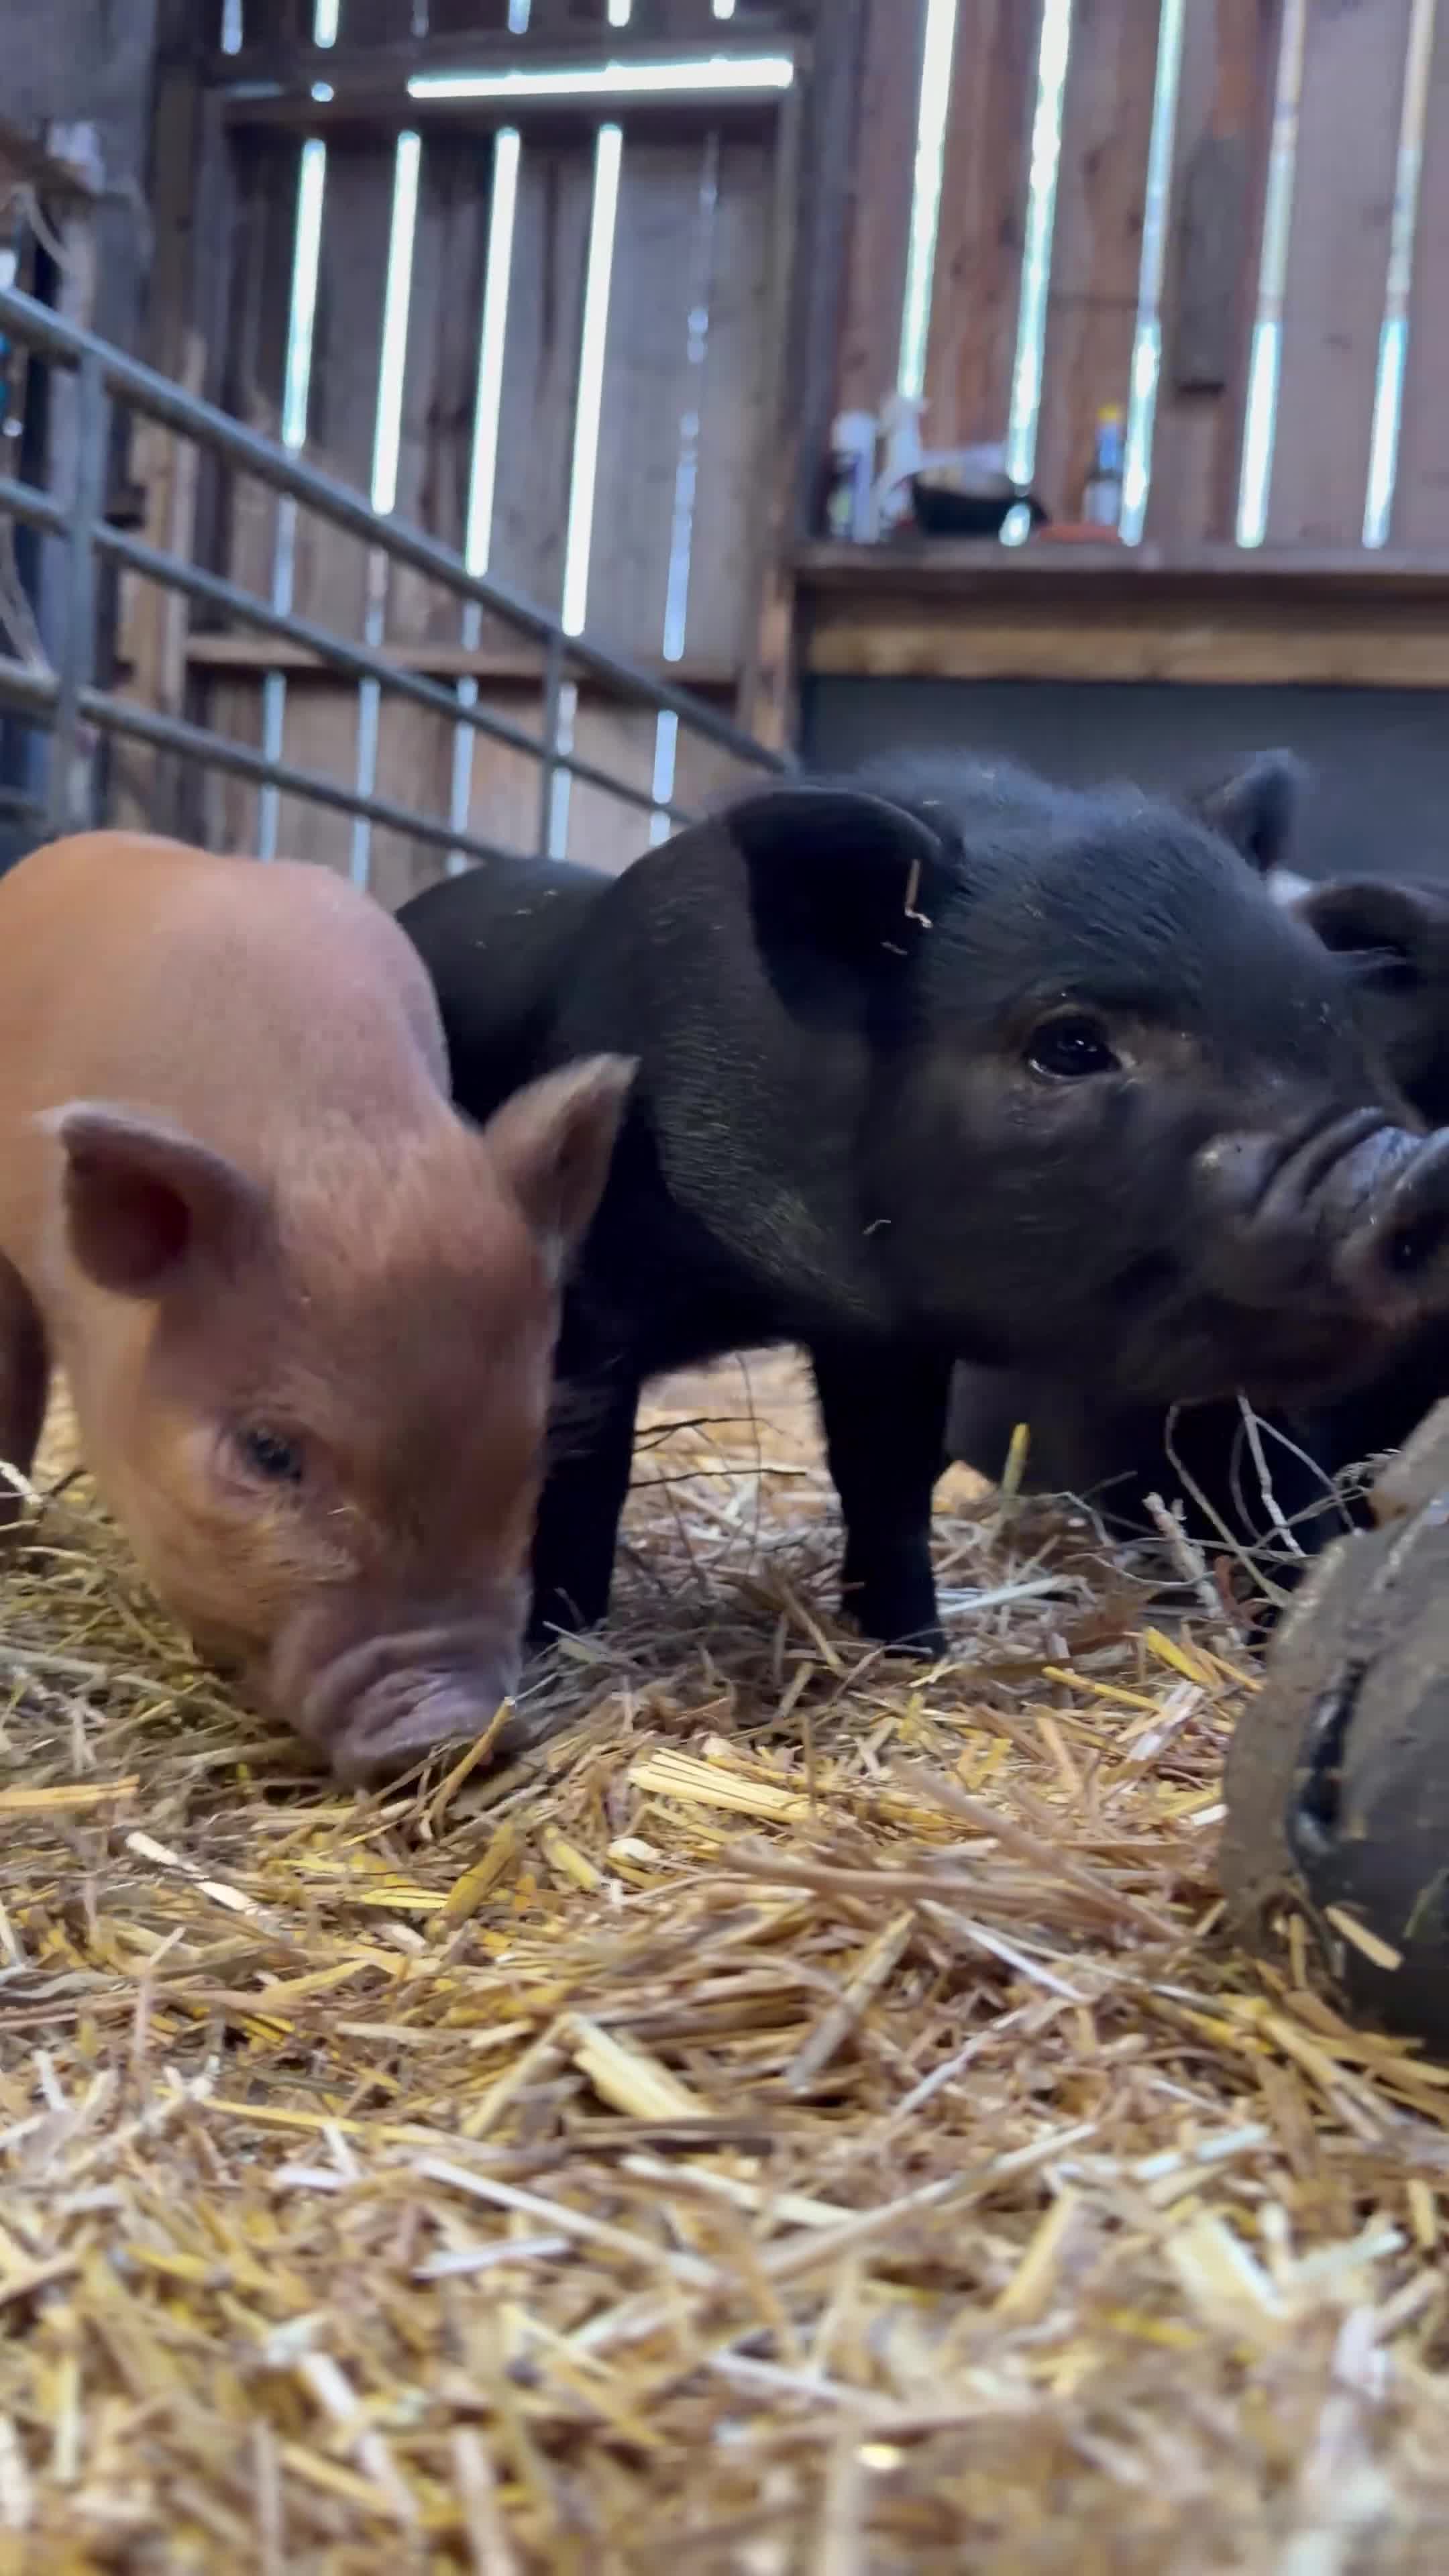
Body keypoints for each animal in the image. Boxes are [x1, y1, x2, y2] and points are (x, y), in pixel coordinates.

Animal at [398, 753, 1449, 1659]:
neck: (759, 1286)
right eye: (1070, 1044)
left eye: (1327, 1007)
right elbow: (580, 1478)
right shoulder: (587, 1301)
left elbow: (890, 1478)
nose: (1409, 1165)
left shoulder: (889, 1338)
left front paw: (916, 1651)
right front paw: (559, 1652)